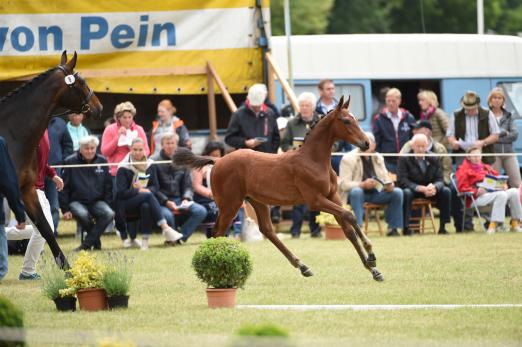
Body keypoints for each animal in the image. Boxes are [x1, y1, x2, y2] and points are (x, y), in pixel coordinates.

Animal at [0, 51, 102, 270]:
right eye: (81, 82)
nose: (99, 108)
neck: (11, 132)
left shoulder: (26, 190)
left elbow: (46, 228)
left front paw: (69, 271)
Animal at [174, 97, 382, 282]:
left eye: (355, 119)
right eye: (346, 120)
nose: (366, 143)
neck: (312, 160)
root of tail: (217, 161)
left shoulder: (332, 197)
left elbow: (348, 229)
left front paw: (373, 269)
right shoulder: (316, 201)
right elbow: (350, 216)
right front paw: (371, 254)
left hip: (257, 201)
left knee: (267, 230)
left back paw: (302, 266)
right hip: (230, 204)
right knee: (218, 231)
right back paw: (217, 273)